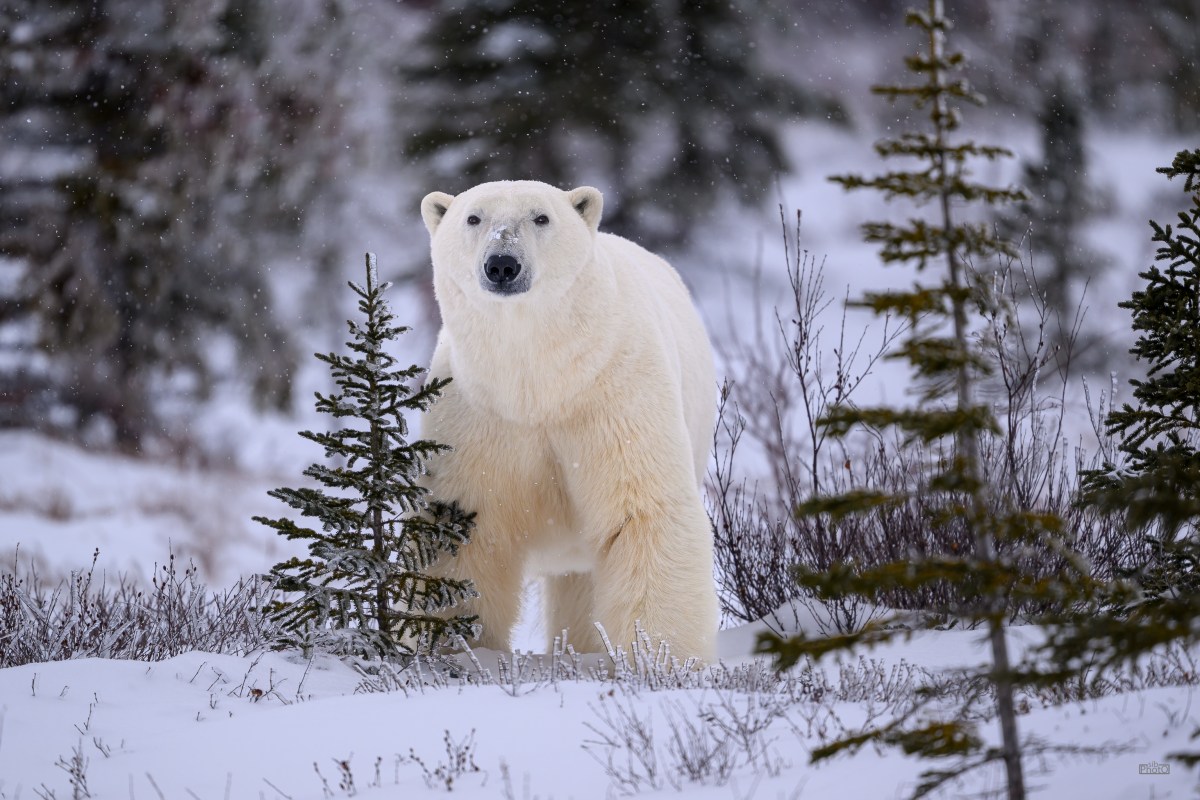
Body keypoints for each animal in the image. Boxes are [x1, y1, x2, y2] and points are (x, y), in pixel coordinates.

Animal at [419, 180, 718, 662]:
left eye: (541, 217)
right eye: (473, 217)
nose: (502, 263)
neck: (540, 384)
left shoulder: (614, 394)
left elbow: (642, 512)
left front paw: (660, 658)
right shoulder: (475, 415)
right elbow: (464, 529)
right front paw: (457, 646)